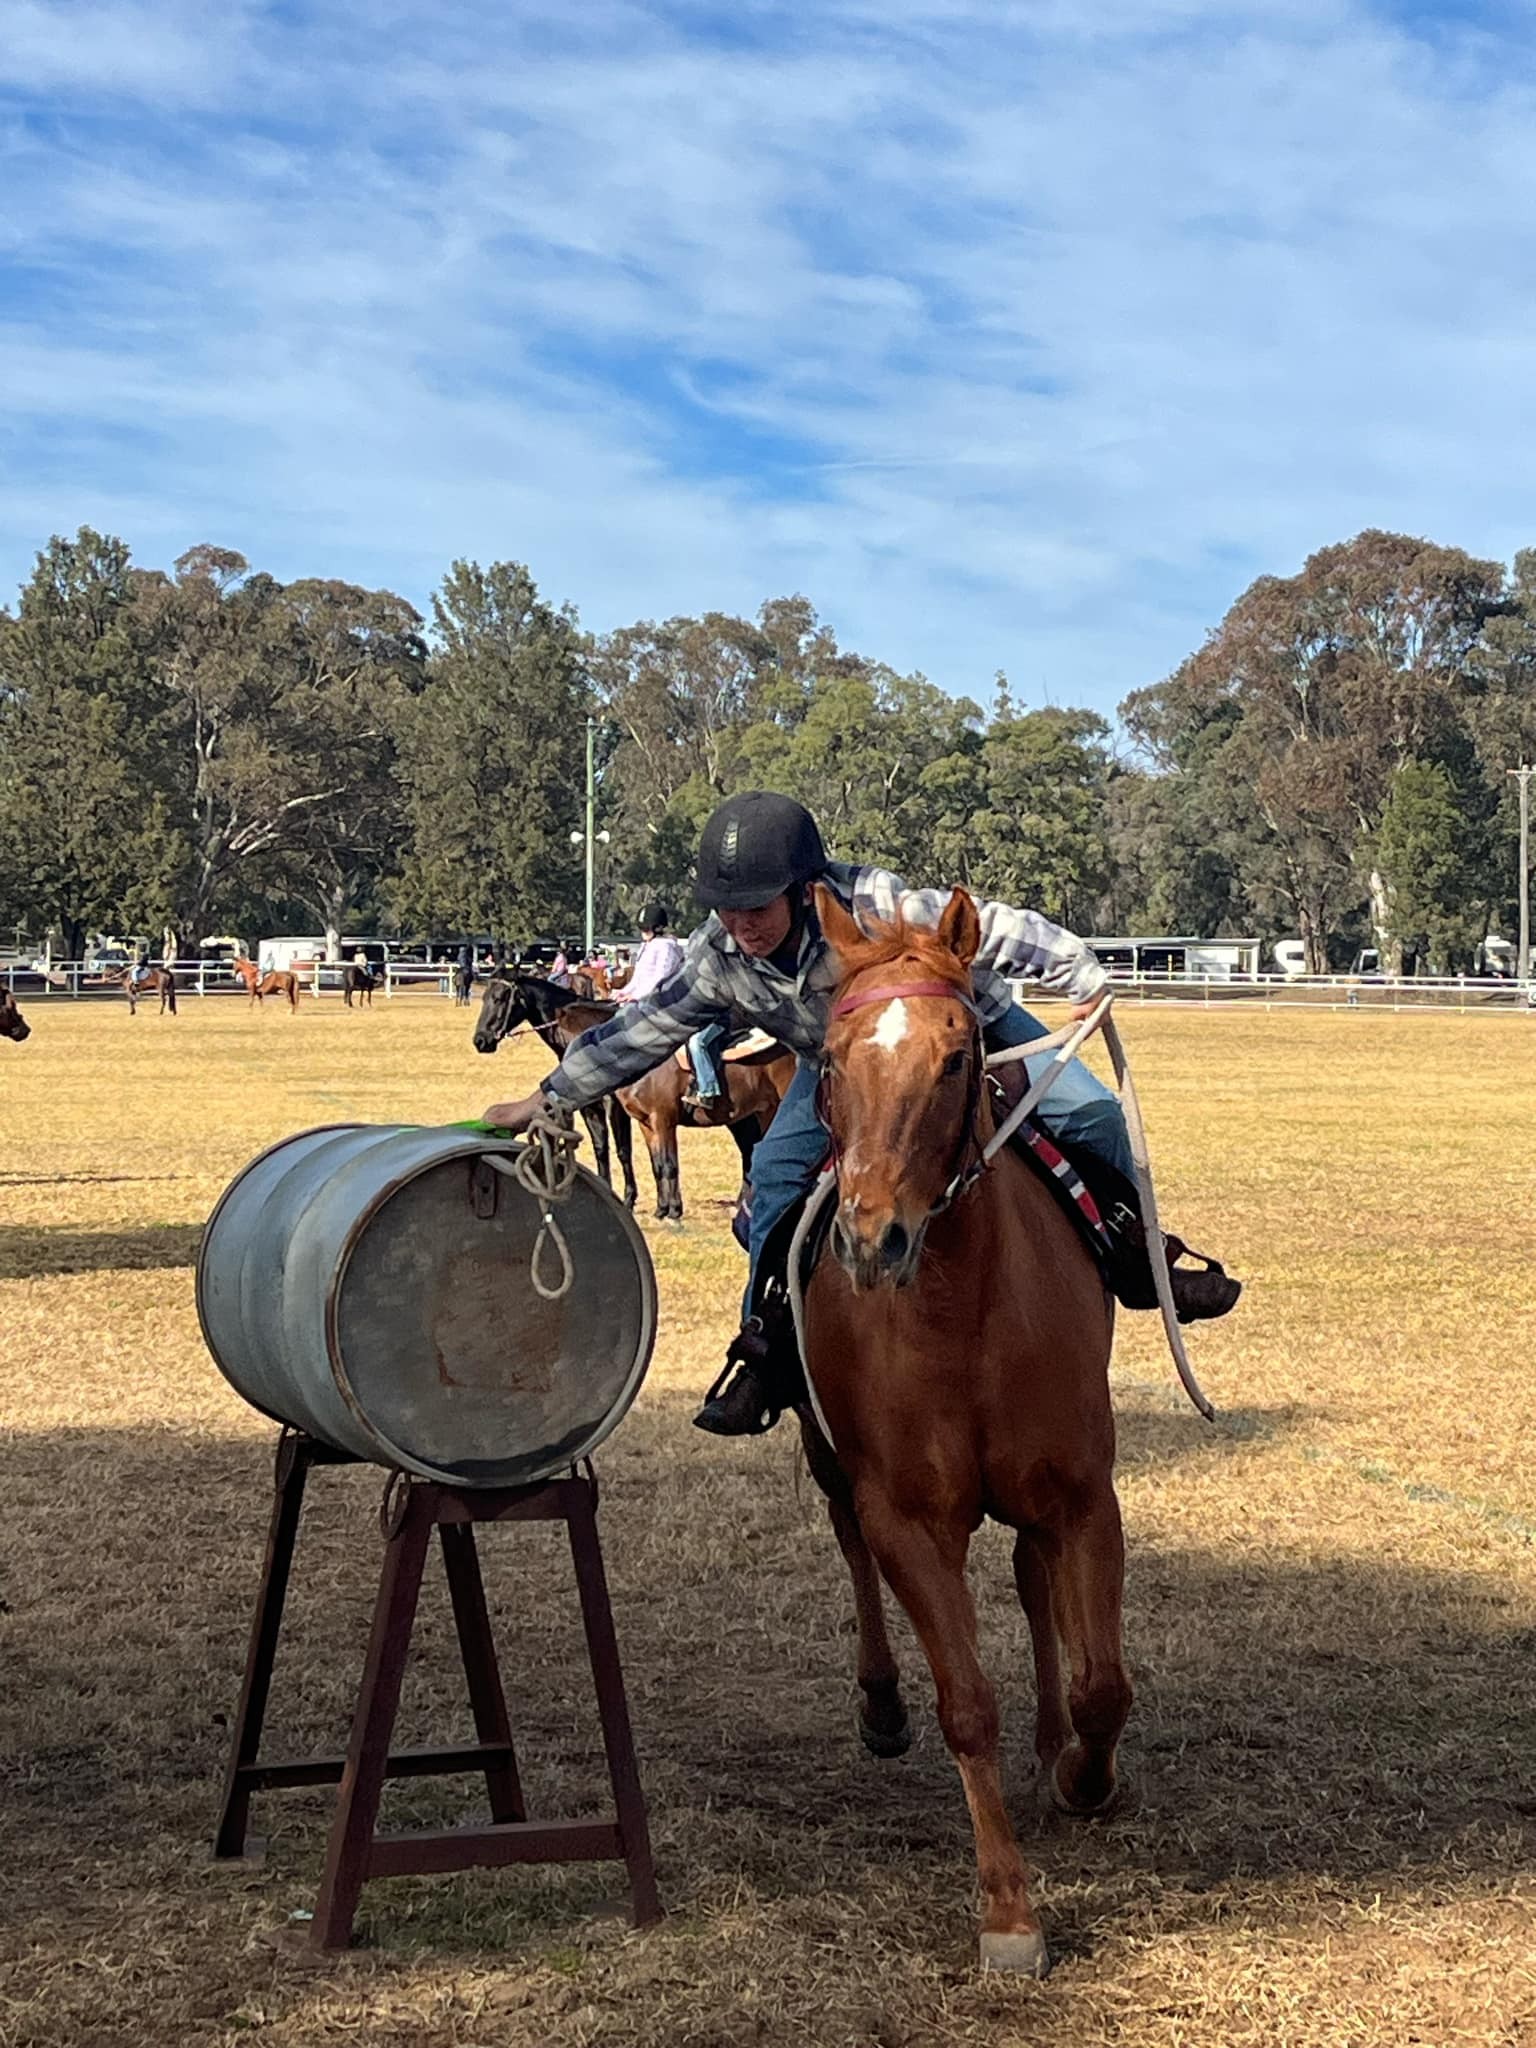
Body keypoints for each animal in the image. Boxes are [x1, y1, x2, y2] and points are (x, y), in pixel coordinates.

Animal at [474, 974, 796, 1220]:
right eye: (485, 996)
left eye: (500, 998)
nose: (480, 1041)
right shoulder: (618, 1114)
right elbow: (620, 1154)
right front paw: (648, 1205)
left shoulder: (651, 1116)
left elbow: (646, 1157)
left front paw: (660, 1207)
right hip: (746, 1115)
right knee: (750, 1152)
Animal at [797, 883, 1127, 1977]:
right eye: (830, 1056)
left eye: (955, 1057)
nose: (872, 1238)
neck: (964, 1311)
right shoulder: (907, 1516)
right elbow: (966, 1705)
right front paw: (1010, 1911)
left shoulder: (1083, 1494)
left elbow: (1104, 1682)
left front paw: (1082, 1777)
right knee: (850, 1545)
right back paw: (881, 1703)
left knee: (1033, 1586)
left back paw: (1055, 1744)